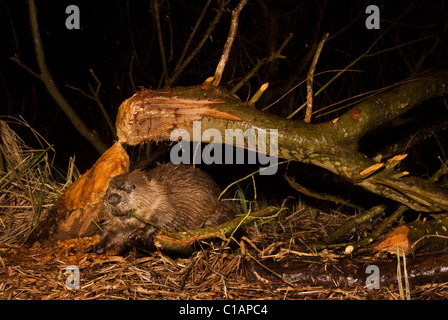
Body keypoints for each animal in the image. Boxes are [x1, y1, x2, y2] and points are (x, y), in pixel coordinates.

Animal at [87, 164, 234, 254]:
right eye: (109, 189)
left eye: (132, 186)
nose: (113, 198)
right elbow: (113, 233)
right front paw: (97, 246)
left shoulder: (171, 203)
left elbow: (168, 220)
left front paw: (139, 233)